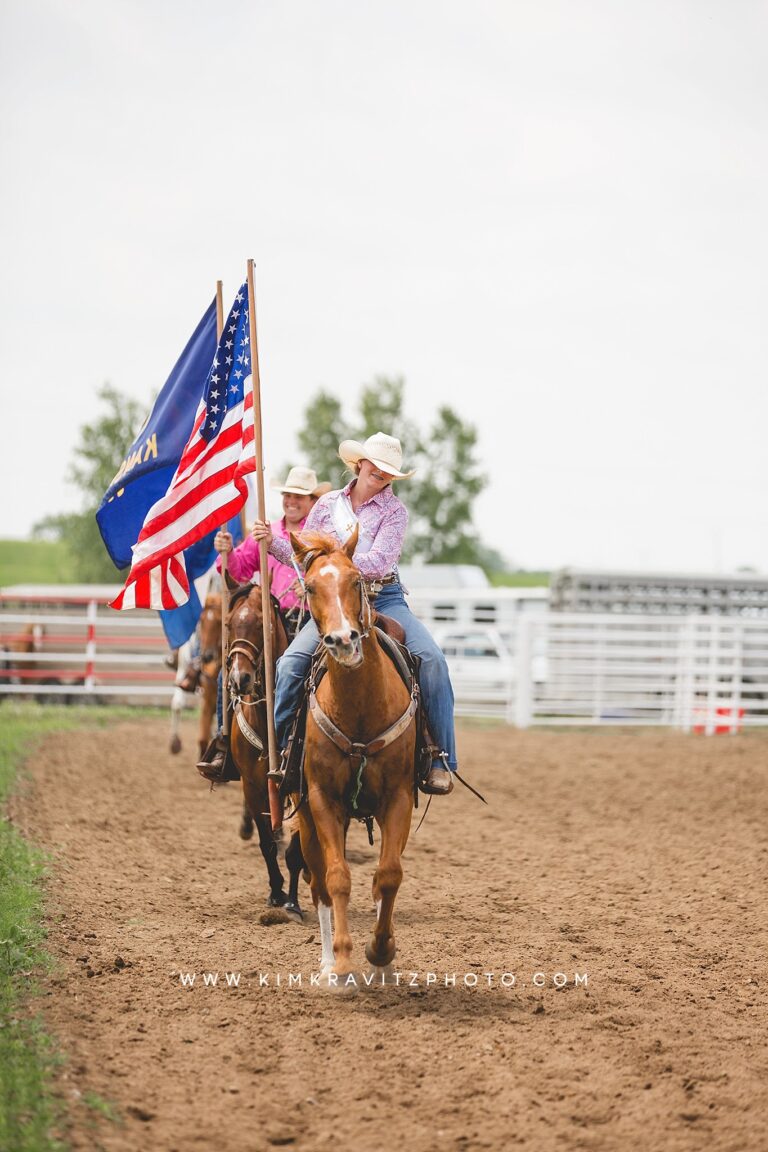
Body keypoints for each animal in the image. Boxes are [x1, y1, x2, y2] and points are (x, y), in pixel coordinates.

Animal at [290, 527, 421, 972]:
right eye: (310, 587)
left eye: (356, 581)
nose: (343, 640)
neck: (360, 707)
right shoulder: (322, 799)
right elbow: (337, 877)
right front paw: (344, 960)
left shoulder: (398, 797)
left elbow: (389, 875)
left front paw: (381, 950)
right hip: (305, 814)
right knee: (317, 882)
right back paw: (328, 962)